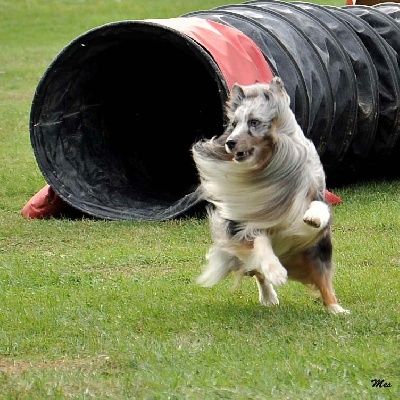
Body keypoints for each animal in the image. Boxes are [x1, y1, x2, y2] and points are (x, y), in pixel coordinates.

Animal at [192, 76, 348, 314]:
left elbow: (320, 207)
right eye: (234, 124)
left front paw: (314, 218)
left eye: (254, 122)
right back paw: (269, 295)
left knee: (324, 280)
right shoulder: (246, 222)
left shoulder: (314, 191)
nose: (230, 143)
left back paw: (336, 309)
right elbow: (261, 242)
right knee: (257, 271)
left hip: (317, 250)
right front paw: (277, 272)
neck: (270, 167)